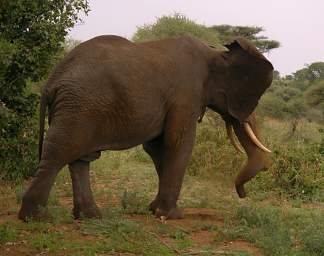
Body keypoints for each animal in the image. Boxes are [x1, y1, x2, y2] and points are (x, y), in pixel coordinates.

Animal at [18, 35, 274, 221]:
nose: (242, 194)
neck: (214, 52)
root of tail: (51, 82)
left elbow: (157, 148)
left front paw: (154, 210)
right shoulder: (186, 94)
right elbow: (178, 143)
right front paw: (171, 215)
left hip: (78, 108)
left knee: (80, 159)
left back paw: (91, 216)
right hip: (79, 107)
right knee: (60, 153)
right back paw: (35, 218)